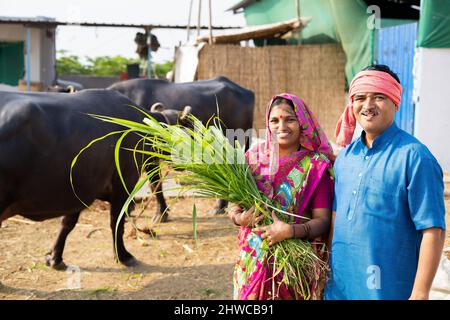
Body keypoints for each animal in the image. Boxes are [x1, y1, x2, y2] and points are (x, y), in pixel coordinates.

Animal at [0, 89, 166, 268]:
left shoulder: (81, 189)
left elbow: (68, 223)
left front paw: (54, 257)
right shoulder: (124, 184)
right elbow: (117, 221)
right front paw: (123, 255)